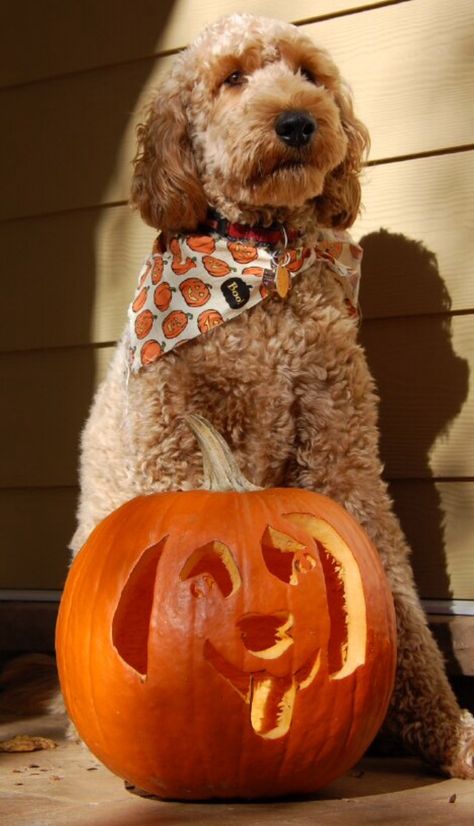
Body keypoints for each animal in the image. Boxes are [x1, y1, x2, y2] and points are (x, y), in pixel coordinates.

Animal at [71, 12, 474, 776]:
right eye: (231, 77)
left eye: (308, 74)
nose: (296, 121)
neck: (261, 264)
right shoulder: (171, 439)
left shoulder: (341, 448)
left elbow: (390, 586)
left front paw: (448, 729)